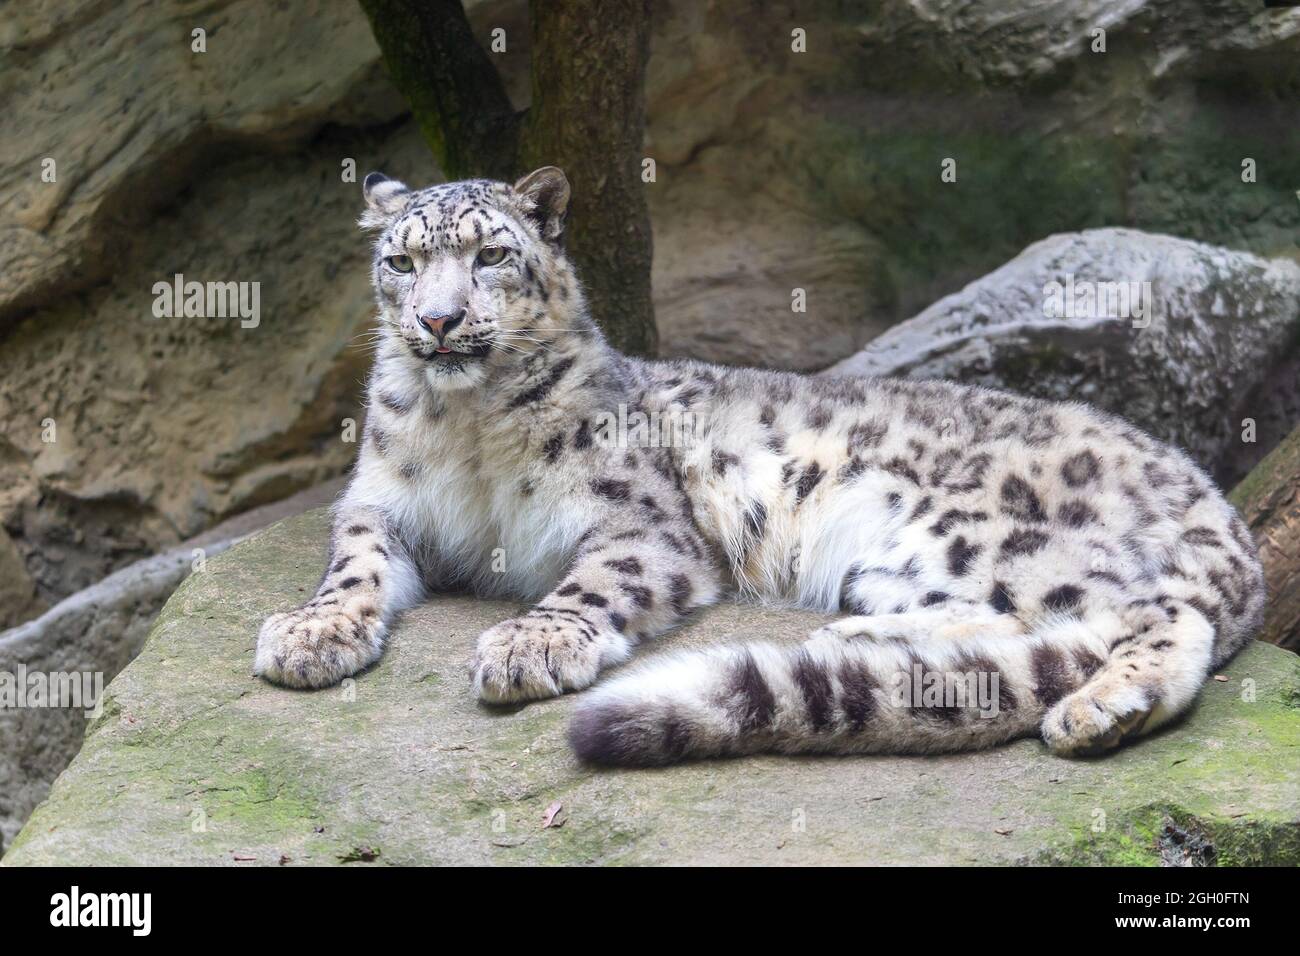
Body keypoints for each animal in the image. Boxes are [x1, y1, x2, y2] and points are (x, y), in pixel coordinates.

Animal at [254, 166, 1266, 766]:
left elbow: (591, 583)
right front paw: (310, 634)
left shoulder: (638, 523)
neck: (465, 429)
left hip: (988, 533)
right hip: (897, 564)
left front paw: (528, 646)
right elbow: (352, 564)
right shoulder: (381, 502)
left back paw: (1101, 710)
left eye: (492, 253)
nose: (438, 321)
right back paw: (858, 643)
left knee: (1149, 616)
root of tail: (1213, 502)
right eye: (401, 261)